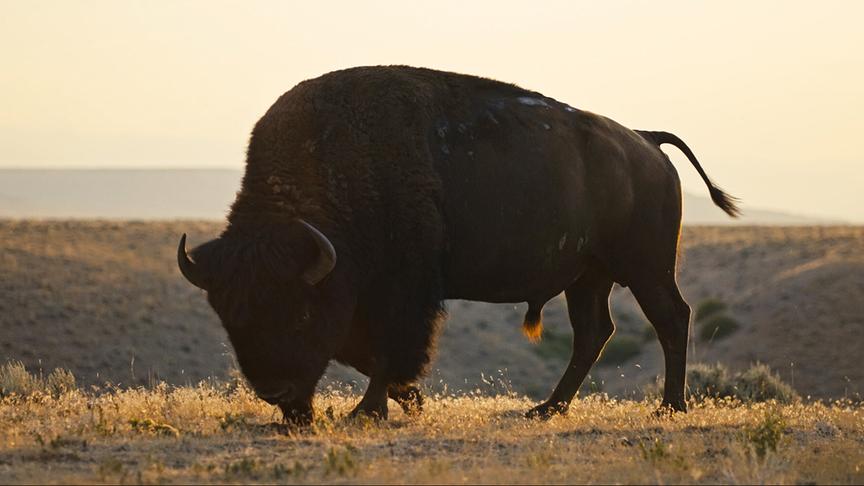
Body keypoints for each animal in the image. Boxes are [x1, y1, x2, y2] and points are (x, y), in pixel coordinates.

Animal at [177, 66, 738, 424]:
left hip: (646, 267)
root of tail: (645, 141)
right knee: (594, 333)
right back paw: (545, 409)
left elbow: (387, 351)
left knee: (670, 318)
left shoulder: (403, 294)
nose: (278, 394)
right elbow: (367, 355)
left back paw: (669, 407)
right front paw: (409, 401)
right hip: (588, 275)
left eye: (300, 313)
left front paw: (369, 412)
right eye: (231, 319)